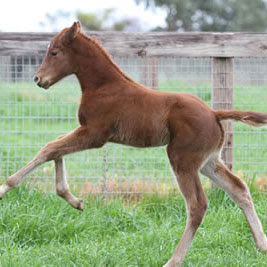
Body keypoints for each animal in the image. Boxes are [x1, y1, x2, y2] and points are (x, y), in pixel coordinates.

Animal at [0, 22, 267, 266]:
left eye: (54, 52)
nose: (38, 79)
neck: (103, 86)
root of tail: (214, 113)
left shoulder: (95, 134)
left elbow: (49, 148)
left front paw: (5, 187)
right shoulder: (89, 133)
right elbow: (55, 147)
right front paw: (73, 200)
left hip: (182, 159)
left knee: (197, 205)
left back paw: (173, 260)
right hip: (208, 161)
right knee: (238, 189)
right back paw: (261, 245)